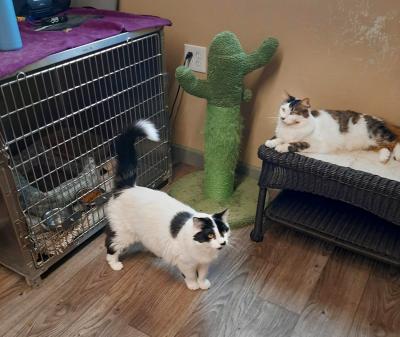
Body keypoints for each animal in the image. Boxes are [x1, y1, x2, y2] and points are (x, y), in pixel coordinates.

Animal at [104, 120, 230, 288]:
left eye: (224, 231)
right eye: (210, 234)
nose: (223, 242)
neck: (204, 250)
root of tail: (128, 186)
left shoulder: (204, 263)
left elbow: (202, 274)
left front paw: (203, 284)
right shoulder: (185, 263)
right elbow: (190, 275)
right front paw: (193, 286)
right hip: (122, 233)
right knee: (110, 245)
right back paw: (114, 264)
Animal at [266, 92, 400, 162]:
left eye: (293, 112)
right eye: (283, 109)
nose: (283, 118)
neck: (291, 128)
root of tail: (382, 119)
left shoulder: (316, 144)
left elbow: (296, 143)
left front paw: (281, 147)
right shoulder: (284, 135)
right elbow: (281, 138)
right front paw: (272, 142)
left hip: (378, 134)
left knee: (396, 139)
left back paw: (396, 155)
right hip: (372, 143)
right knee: (385, 147)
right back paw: (384, 156)